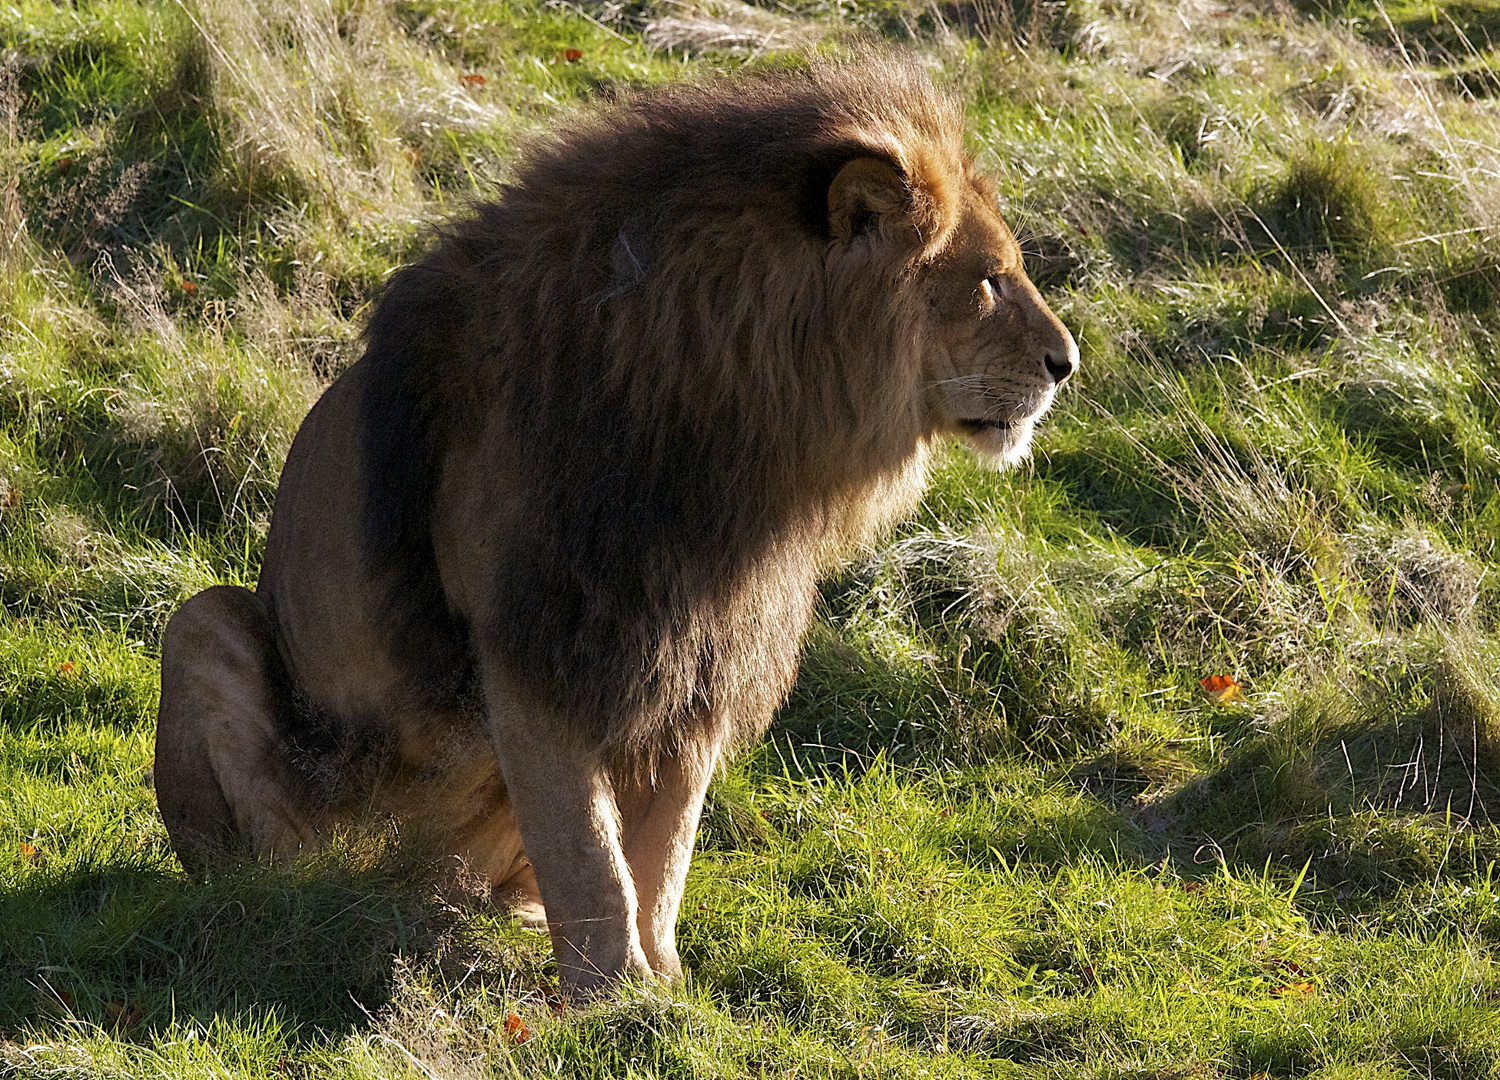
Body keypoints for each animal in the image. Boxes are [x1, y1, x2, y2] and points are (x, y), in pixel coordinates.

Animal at [155, 48, 1080, 996]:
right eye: (989, 280)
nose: (1068, 364)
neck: (736, 437)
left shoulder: (700, 645)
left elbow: (661, 848)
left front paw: (666, 984)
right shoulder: (538, 639)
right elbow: (588, 849)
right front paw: (614, 998)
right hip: (206, 628)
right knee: (269, 838)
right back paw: (312, 894)